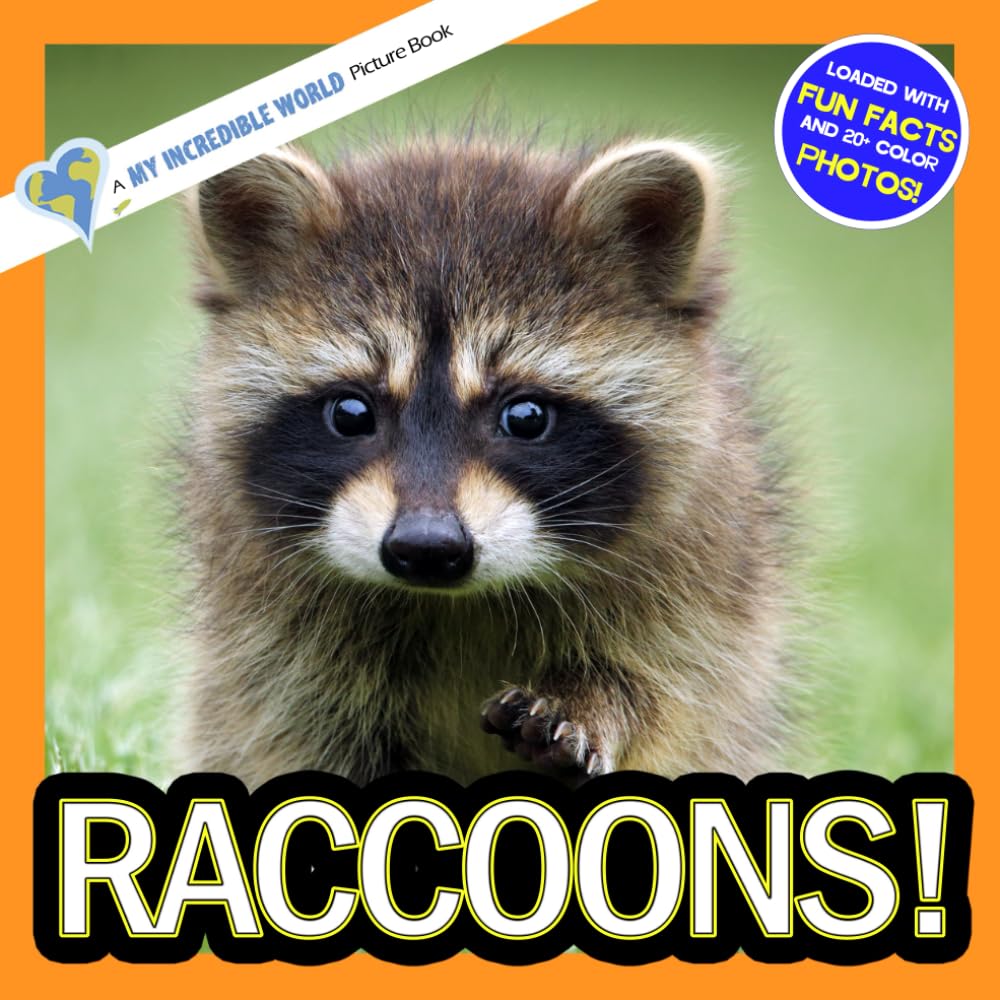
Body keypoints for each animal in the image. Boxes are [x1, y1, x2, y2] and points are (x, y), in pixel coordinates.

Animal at [180, 136, 789, 788]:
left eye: (525, 417)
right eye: (350, 413)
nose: (426, 546)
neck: (456, 602)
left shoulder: (699, 586)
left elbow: (667, 692)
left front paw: (592, 701)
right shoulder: (269, 636)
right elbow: (294, 728)